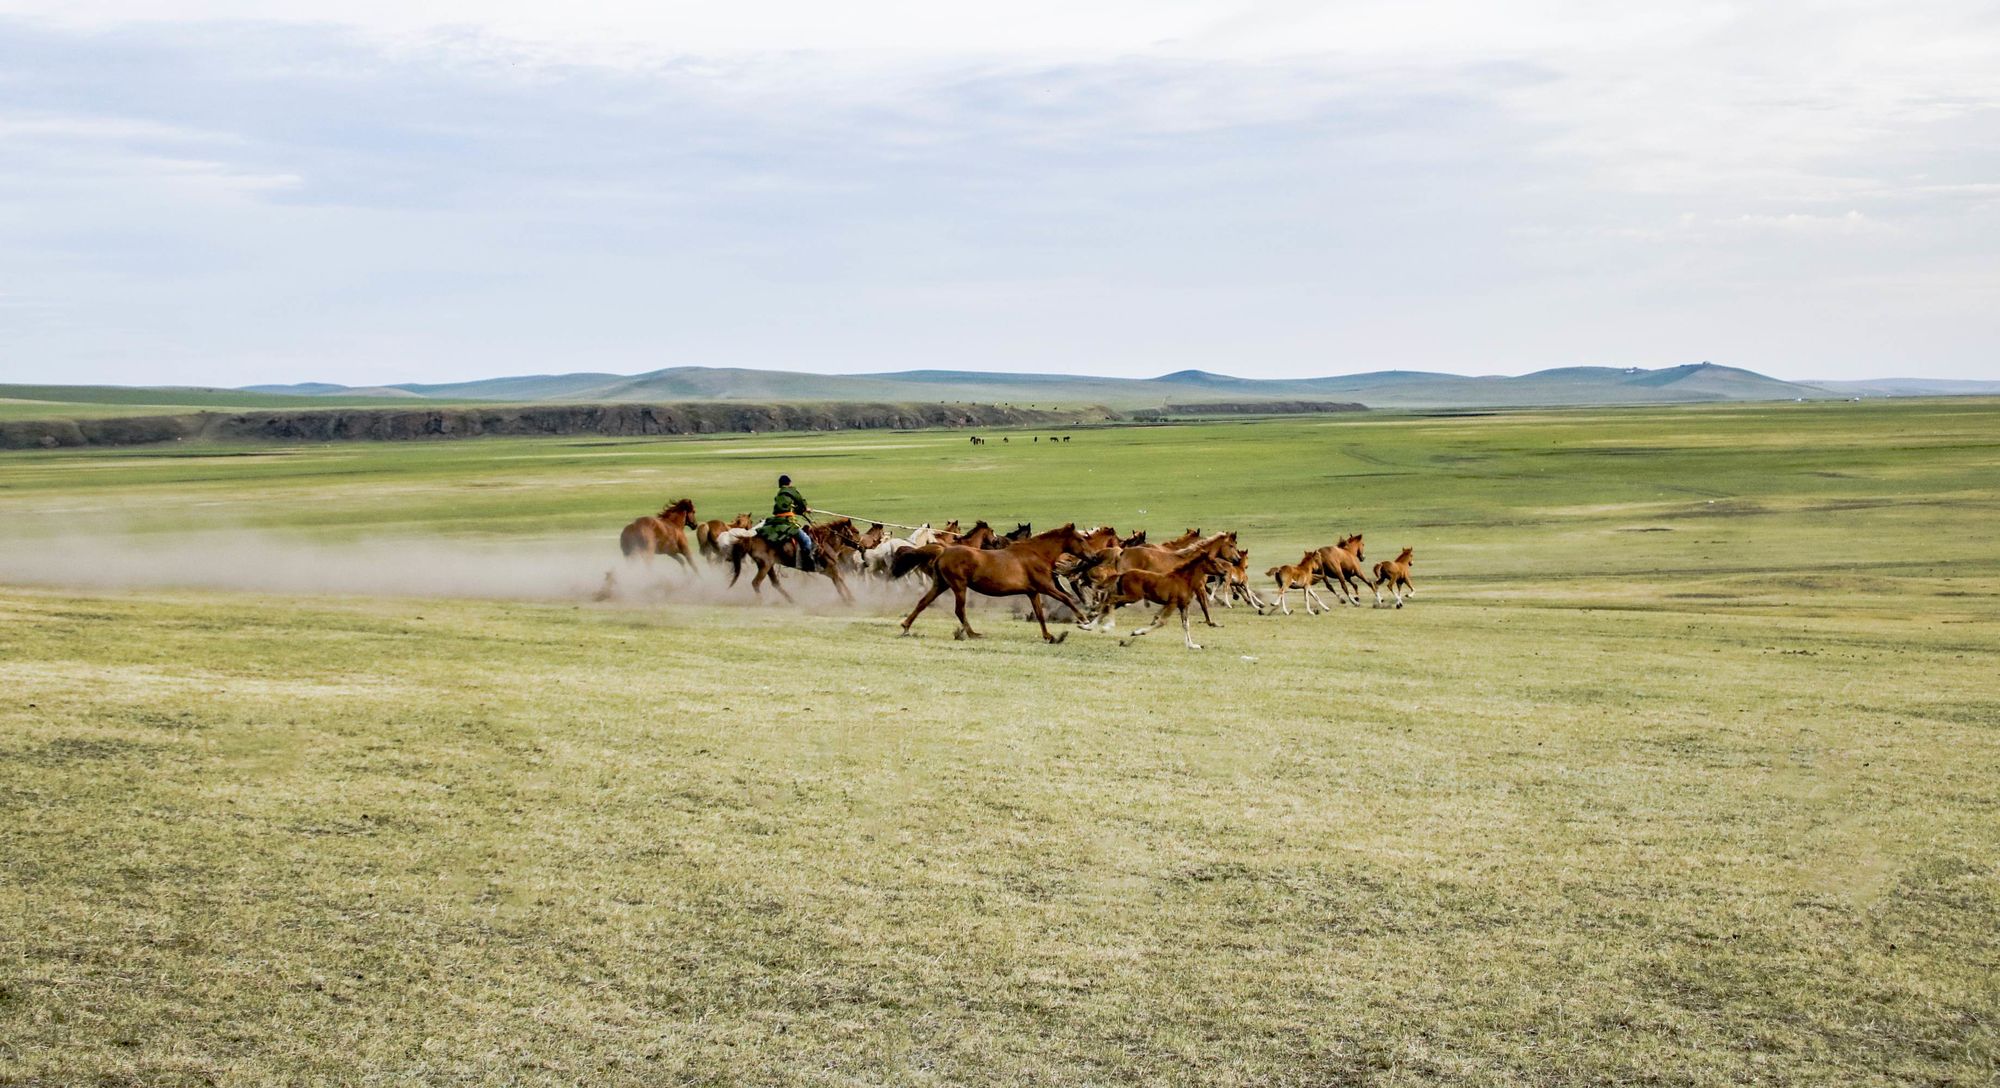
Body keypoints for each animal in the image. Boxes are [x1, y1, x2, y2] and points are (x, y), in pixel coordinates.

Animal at [732, 520, 864, 604]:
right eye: (856, 531)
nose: (862, 546)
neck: (825, 542)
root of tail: (751, 539)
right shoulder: (830, 568)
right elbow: (838, 583)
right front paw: (848, 600)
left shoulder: (827, 570)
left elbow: (840, 581)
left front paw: (850, 598)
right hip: (765, 565)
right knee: (756, 583)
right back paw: (762, 601)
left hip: (768, 566)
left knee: (775, 583)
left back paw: (792, 600)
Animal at [908, 524, 1112, 640]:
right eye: (1080, 539)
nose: (1094, 557)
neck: (1037, 554)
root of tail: (943, 552)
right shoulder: (1045, 587)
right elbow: (1067, 598)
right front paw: (1084, 619)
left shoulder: (1033, 592)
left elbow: (1039, 614)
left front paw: (1049, 636)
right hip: (958, 586)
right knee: (959, 610)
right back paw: (973, 634)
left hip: (941, 584)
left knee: (923, 602)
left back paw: (906, 627)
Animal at [1088, 548, 1240, 652]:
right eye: (1213, 562)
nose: (1225, 572)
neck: (1184, 580)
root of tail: (1123, 573)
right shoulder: (1172, 603)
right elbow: (1162, 621)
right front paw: (1137, 632)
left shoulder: (1183, 605)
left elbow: (1186, 624)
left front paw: (1192, 645)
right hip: (1132, 596)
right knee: (1111, 600)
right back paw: (1106, 626)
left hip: (1126, 596)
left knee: (1109, 603)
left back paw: (1089, 626)